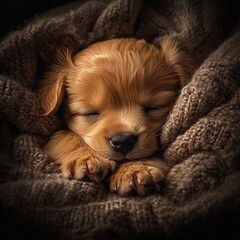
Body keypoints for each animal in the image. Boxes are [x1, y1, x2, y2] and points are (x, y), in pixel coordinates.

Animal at [38, 37, 195, 195]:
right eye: (90, 112)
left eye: (153, 108)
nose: (123, 140)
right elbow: (63, 135)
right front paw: (86, 158)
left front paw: (136, 169)